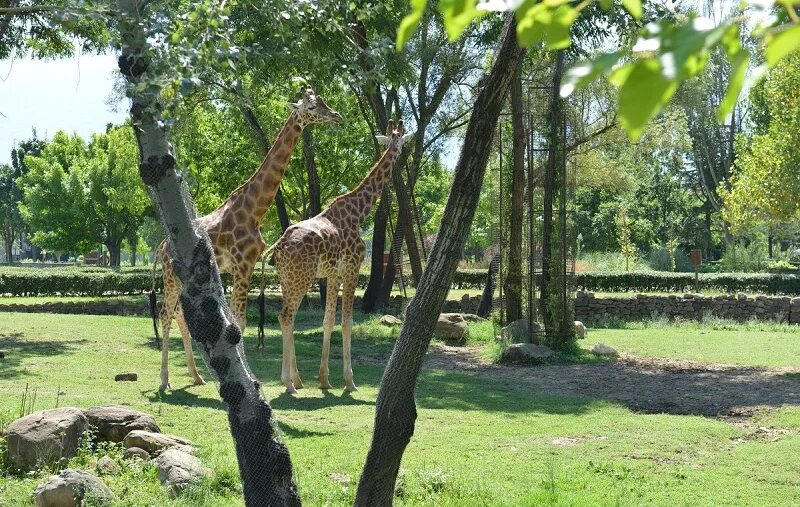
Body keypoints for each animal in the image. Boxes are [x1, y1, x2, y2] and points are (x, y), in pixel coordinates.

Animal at [155, 87, 342, 390]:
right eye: (312, 107)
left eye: (323, 102)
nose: (337, 116)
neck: (255, 211)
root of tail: (161, 246)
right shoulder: (242, 265)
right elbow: (239, 323)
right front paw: (247, 380)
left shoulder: (247, 266)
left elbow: (237, 321)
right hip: (170, 277)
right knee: (164, 315)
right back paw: (164, 381)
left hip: (183, 279)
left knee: (179, 315)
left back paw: (196, 376)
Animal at [268, 119, 412, 392]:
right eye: (397, 139)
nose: (398, 152)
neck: (358, 211)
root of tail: (278, 248)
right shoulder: (352, 268)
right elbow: (346, 322)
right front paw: (349, 381)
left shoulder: (333, 274)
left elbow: (327, 321)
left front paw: (324, 380)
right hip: (301, 279)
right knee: (285, 317)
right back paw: (288, 383)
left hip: (286, 280)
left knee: (288, 318)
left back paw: (297, 380)